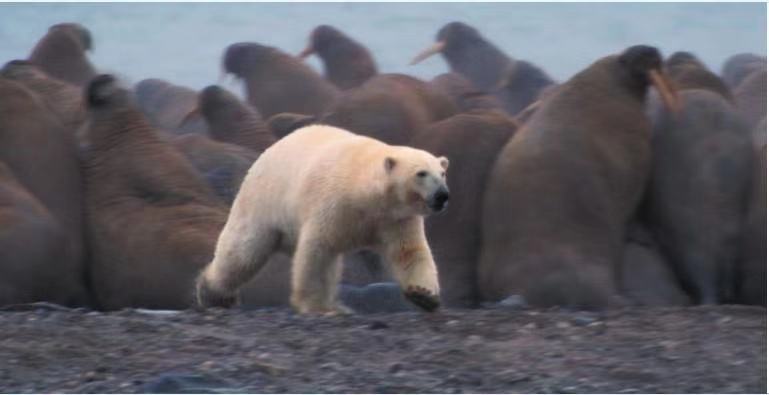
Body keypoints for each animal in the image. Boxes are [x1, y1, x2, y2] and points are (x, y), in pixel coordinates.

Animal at [195, 125, 450, 314]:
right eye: (421, 173)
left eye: (442, 173)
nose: (442, 195)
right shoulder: (333, 202)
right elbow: (318, 250)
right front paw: (315, 306)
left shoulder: (395, 219)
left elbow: (409, 252)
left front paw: (424, 295)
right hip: (264, 201)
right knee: (244, 252)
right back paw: (213, 293)